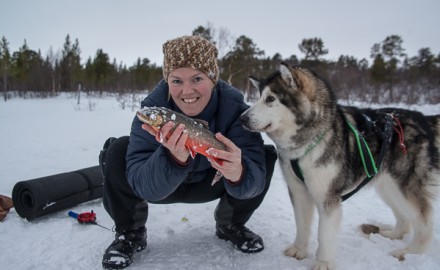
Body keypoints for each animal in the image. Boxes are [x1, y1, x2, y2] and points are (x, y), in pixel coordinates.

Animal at [241, 62, 440, 270]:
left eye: (270, 99)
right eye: (258, 97)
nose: (242, 118)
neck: (310, 141)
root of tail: (422, 118)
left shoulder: (328, 197)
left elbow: (324, 233)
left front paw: (323, 263)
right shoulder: (298, 191)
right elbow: (302, 224)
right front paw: (299, 250)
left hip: (404, 187)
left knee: (425, 223)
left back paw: (410, 252)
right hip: (387, 186)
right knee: (404, 218)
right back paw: (392, 235)